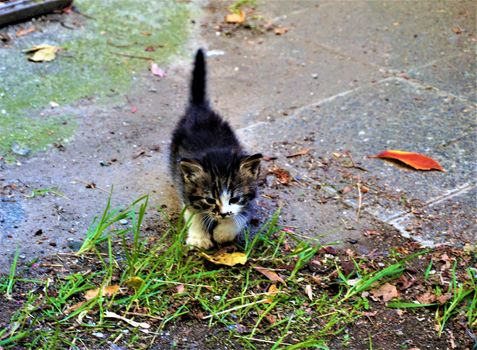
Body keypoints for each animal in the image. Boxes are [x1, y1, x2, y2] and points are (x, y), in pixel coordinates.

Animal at [170, 49, 262, 249]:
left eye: (235, 199)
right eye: (210, 200)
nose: (223, 214)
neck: (217, 154)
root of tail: (200, 110)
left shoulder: (251, 194)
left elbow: (243, 214)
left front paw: (224, 231)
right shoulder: (185, 188)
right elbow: (193, 213)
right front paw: (199, 237)